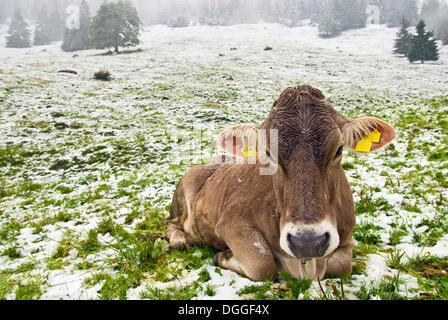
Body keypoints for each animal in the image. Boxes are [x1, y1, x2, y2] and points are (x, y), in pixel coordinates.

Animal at [167, 84, 396, 280]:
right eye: (269, 153)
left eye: (339, 149)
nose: (307, 243)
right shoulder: (230, 222)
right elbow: (263, 263)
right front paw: (223, 255)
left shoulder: (347, 238)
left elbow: (341, 266)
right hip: (184, 190)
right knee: (172, 223)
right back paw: (180, 241)